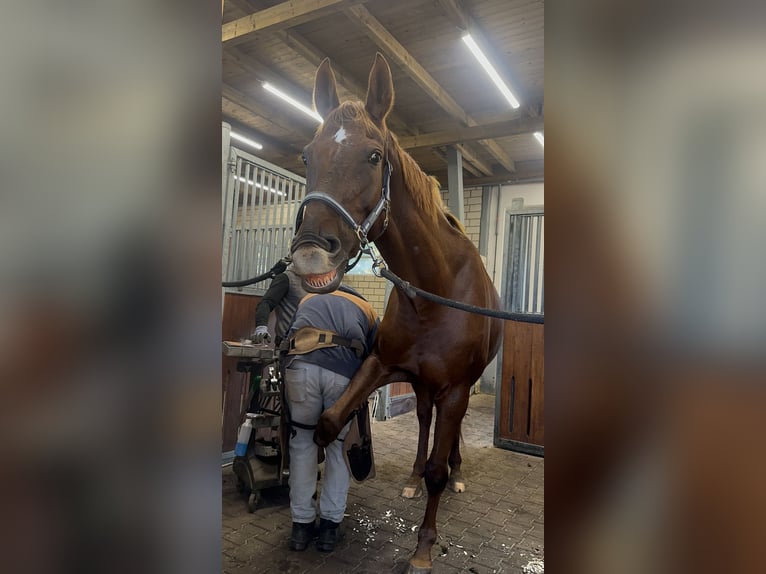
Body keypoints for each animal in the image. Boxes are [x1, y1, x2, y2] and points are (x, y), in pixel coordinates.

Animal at [290, 53, 504, 572]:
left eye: (373, 156)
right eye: (307, 155)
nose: (310, 253)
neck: (431, 293)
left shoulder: (456, 388)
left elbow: (438, 474)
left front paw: (424, 548)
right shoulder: (384, 365)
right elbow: (328, 424)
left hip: (456, 388)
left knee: (450, 435)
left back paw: (457, 470)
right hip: (423, 386)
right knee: (425, 421)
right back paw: (410, 474)